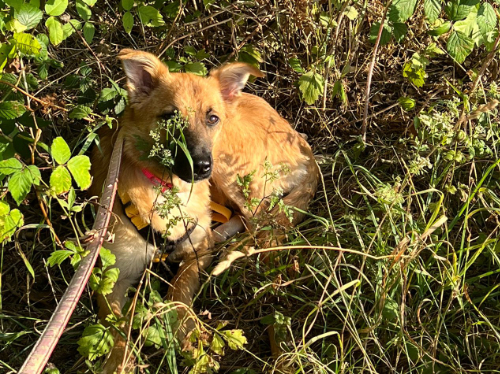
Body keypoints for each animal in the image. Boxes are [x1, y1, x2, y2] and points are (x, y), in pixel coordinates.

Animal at [89, 49, 316, 374]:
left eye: (212, 118)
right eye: (170, 117)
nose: (200, 167)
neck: (168, 189)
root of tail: (300, 141)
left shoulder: (197, 252)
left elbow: (179, 288)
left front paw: (185, 331)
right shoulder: (111, 277)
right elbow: (116, 326)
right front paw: (118, 363)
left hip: (228, 167)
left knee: (261, 223)